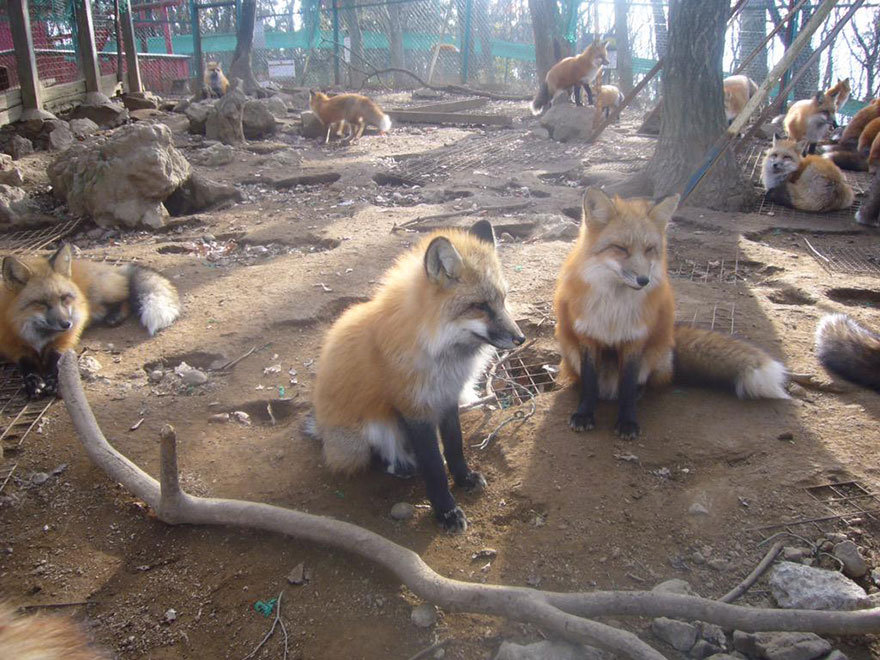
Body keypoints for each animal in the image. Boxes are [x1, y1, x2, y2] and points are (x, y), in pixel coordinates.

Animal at [1, 244, 180, 398]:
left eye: (64, 298)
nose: (66, 324)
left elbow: (56, 361)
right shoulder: (15, 346)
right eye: (41, 304)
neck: (38, 334)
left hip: (100, 297)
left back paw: (115, 316)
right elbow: (27, 366)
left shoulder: (66, 339)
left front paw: (54, 382)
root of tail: (113, 267)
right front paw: (33, 382)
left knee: (127, 296)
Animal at [308, 220, 524, 533]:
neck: (439, 353)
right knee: (378, 457)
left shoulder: (446, 398)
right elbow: (433, 466)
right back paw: (401, 465)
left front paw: (463, 478)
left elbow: (455, 445)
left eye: (503, 300)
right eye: (480, 305)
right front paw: (446, 511)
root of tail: (323, 431)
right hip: (369, 433)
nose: (521, 338)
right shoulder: (414, 409)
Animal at [553, 188, 788, 439]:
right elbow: (589, 383)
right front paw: (584, 414)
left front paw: (627, 421)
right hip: (570, 351)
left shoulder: (635, 339)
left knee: (643, 382)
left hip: (654, 356)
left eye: (649, 249)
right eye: (621, 248)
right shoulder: (587, 336)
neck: (614, 308)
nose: (643, 281)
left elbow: (627, 386)